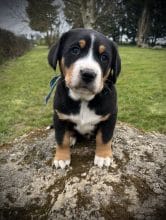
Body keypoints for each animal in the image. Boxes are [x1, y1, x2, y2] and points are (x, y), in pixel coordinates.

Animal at [47, 27, 120, 168]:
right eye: (75, 50)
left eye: (104, 57)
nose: (88, 74)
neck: (83, 99)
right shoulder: (59, 116)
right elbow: (61, 139)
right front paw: (61, 158)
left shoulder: (110, 116)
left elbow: (104, 137)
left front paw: (103, 156)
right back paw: (71, 137)